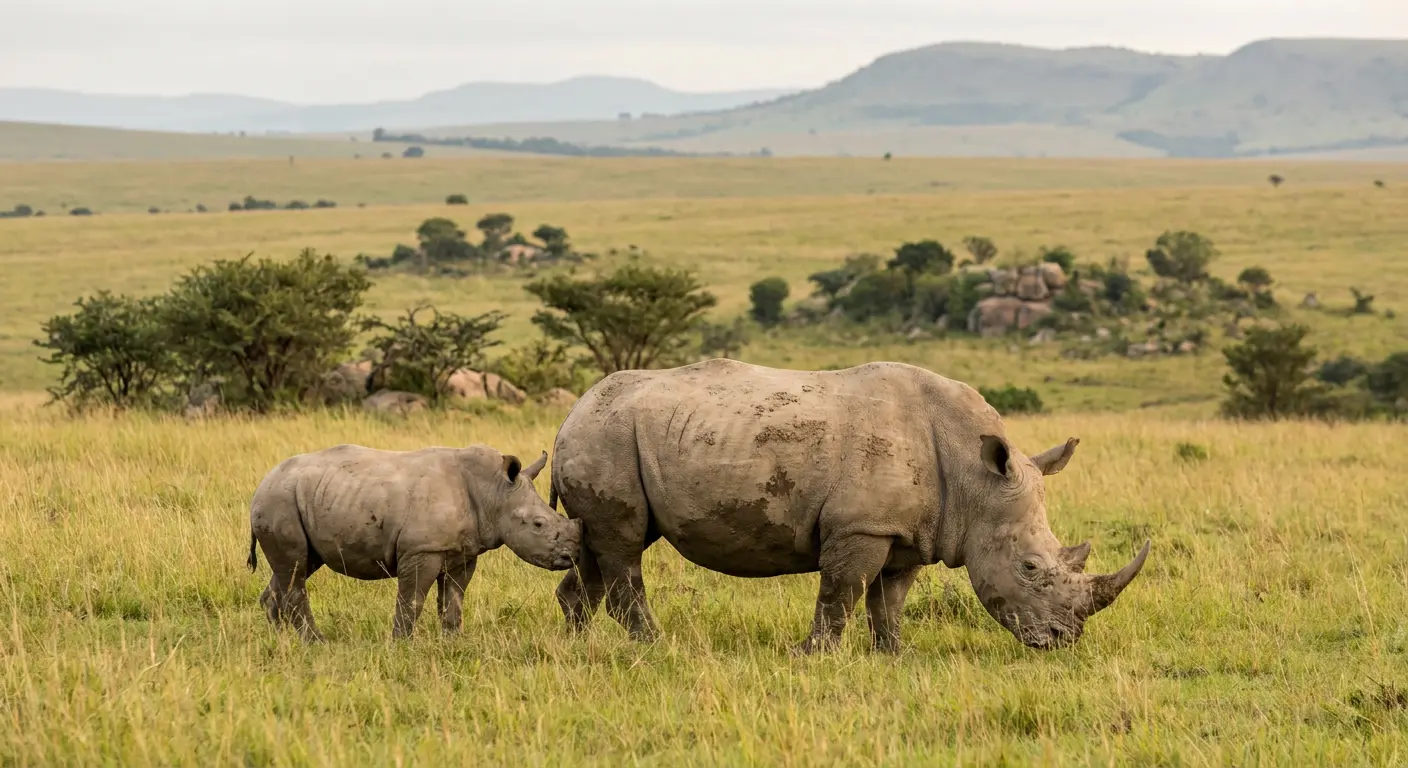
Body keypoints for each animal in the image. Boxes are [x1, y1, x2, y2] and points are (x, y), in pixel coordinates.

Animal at [247, 444, 581, 641]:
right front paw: (401, 644)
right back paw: (317, 642)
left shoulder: (463, 552)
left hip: (296, 498)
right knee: (295, 569)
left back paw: (280, 639)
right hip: (279, 501)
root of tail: (261, 485)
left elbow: (453, 599)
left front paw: (452, 642)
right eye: (538, 524)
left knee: (295, 567)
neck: (494, 492)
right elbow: (412, 600)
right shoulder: (422, 549)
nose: (574, 554)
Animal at [550, 359, 1149, 652]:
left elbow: (889, 601)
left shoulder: (907, 532)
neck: (975, 479)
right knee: (624, 546)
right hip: (606, 436)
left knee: (600, 543)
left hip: (612, 435)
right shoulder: (861, 526)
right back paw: (656, 647)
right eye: (1029, 568)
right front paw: (814, 656)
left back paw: (578, 644)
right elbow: (842, 591)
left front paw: (894, 655)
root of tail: (571, 412)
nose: (1063, 642)